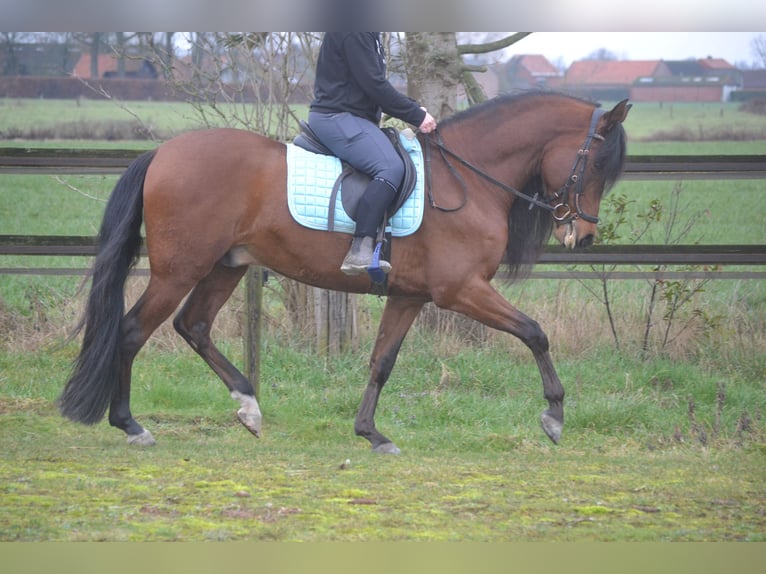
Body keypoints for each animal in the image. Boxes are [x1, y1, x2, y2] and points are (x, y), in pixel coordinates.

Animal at [59, 91, 631, 453]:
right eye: (595, 165)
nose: (582, 237)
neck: (466, 177)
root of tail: (162, 153)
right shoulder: (460, 290)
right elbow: (535, 332)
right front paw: (554, 417)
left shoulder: (409, 296)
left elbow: (382, 361)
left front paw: (371, 434)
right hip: (179, 270)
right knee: (133, 330)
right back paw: (131, 426)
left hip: (226, 266)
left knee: (192, 326)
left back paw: (248, 406)